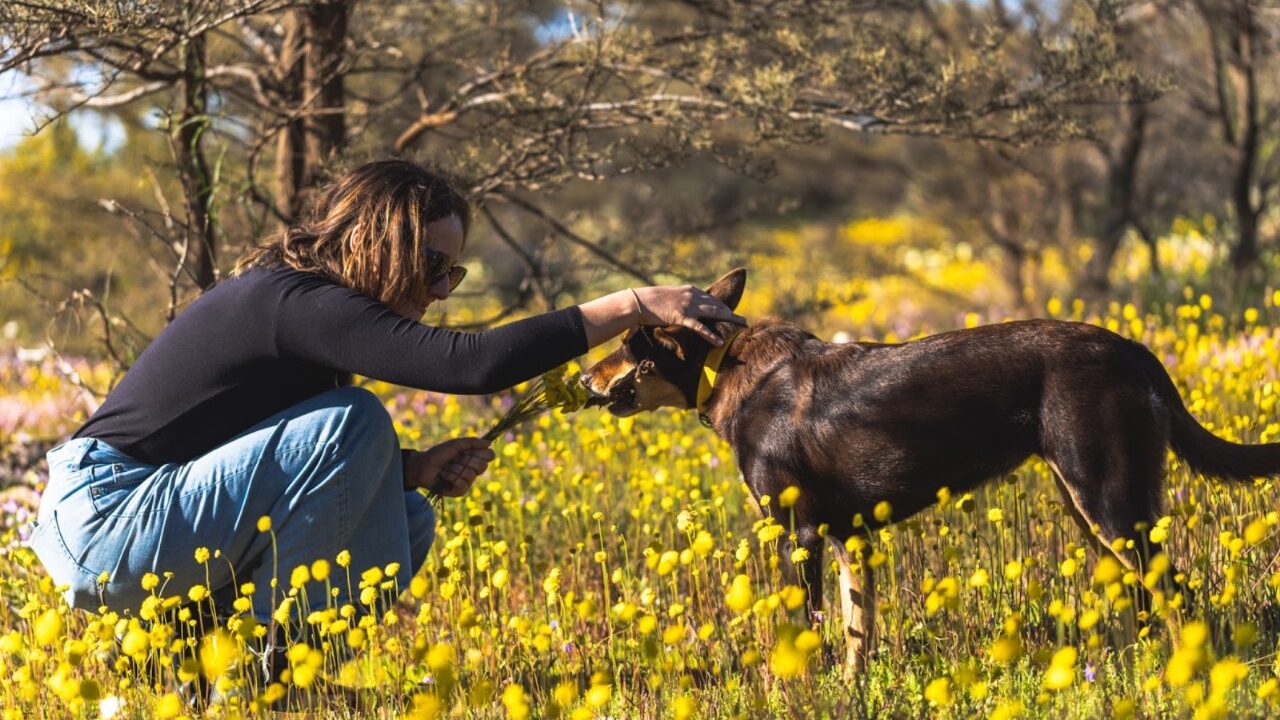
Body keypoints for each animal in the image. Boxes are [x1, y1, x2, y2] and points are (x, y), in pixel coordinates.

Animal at [581, 266, 1280, 671]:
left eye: (627, 344)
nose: (585, 377)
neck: (724, 364)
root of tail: (1135, 349)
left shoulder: (796, 536)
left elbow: (802, 636)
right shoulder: (849, 539)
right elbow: (856, 634)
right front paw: (852, 694)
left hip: (1109, 502)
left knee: (1179, 594)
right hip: (1096, 512)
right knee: (1147, 597)